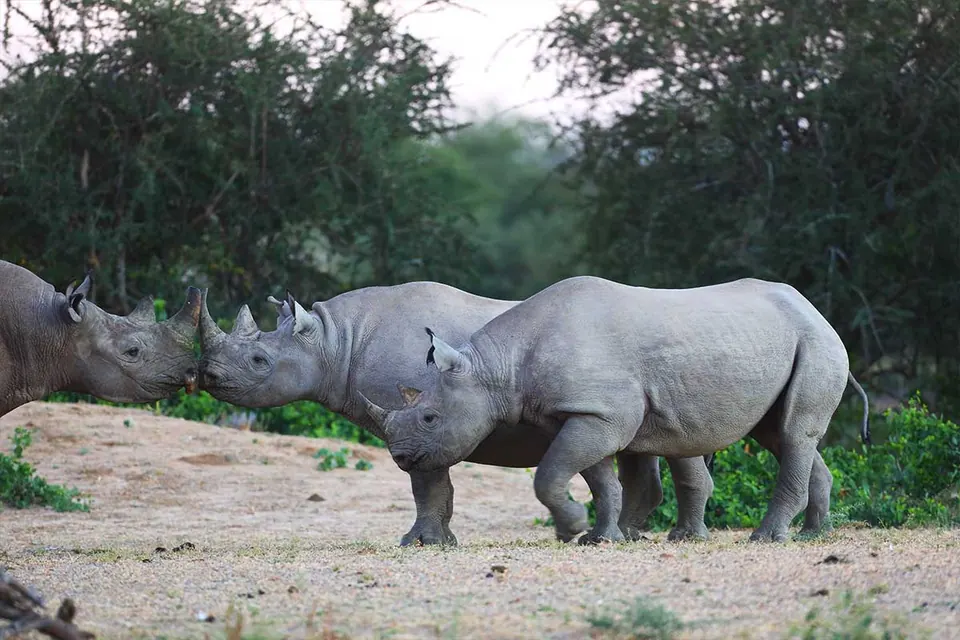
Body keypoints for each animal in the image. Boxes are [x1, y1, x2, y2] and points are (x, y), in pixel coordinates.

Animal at [196, 282, 720, 544]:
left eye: (259, 361)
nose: (208, 376)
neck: (335, 341)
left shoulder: (419, 417)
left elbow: (426, 483)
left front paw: (420, 543)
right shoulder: (426, 421)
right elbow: (438, 484)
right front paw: (441, 540)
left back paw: (666, 538)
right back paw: (637, 536)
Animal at [361, 276, 871, 543]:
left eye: (430, 418)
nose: (401, 458)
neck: (497, 367)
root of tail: (815, 309)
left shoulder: (600, 414)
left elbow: (550, 473)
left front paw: (571, 530)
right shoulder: (587, 414)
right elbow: (600, 478)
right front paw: (599, 538)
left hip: (816, 341)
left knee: (793, 432)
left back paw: (767, 538)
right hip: (788, 341)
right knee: (780, 434)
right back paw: (814, 536)